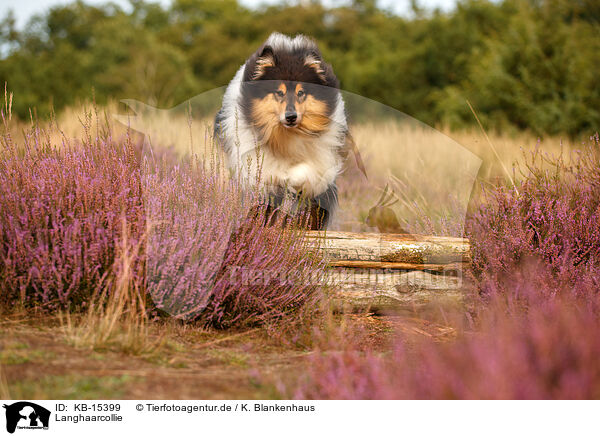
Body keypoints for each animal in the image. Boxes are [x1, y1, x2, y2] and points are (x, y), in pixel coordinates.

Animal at [216, 32, 354, 230]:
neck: (286, 135)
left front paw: (296, 180)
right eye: (279, 92)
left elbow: (307, 172)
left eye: (301, 92)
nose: (291, 117)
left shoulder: (322, 155)